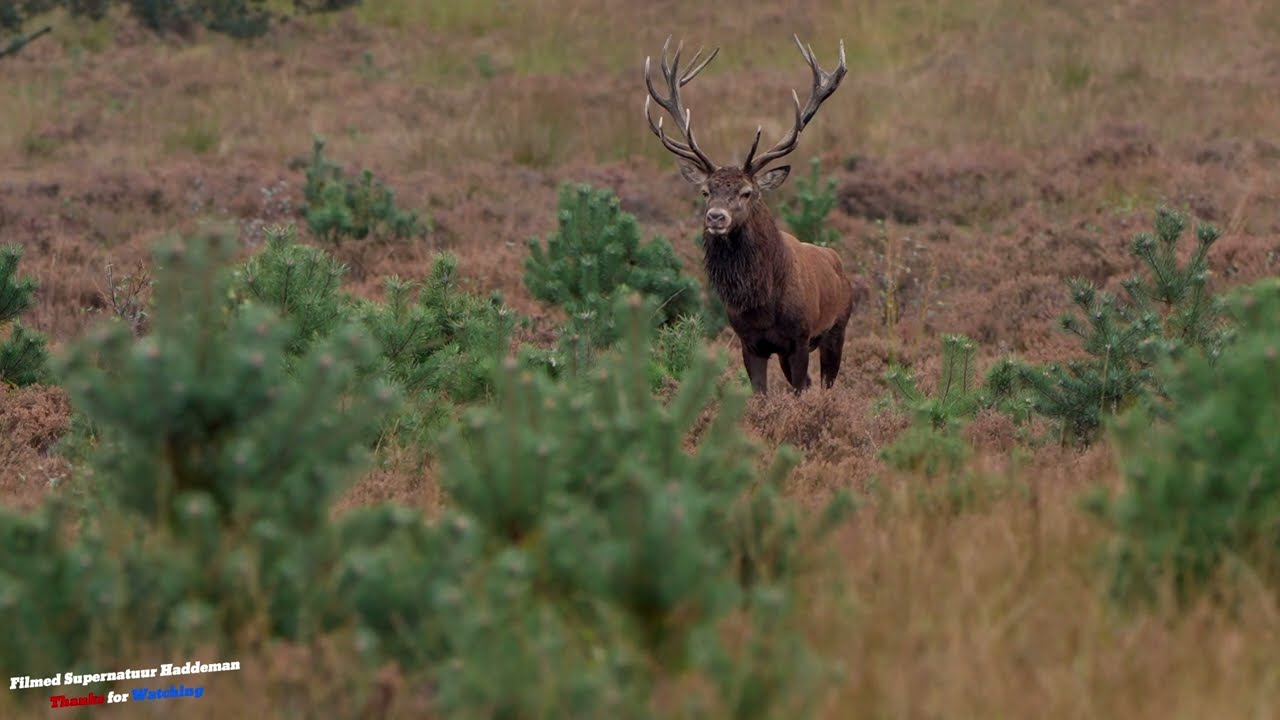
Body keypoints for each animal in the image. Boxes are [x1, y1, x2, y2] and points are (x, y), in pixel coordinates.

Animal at [643, 35, 856, 395]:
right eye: (706, 191)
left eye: (747, 192)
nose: (716, 217)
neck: (763, 305)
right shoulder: (749, 342)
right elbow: (761, 394)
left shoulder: (800, 338)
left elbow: (800, 392)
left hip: (837, 327)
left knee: (826, 382)